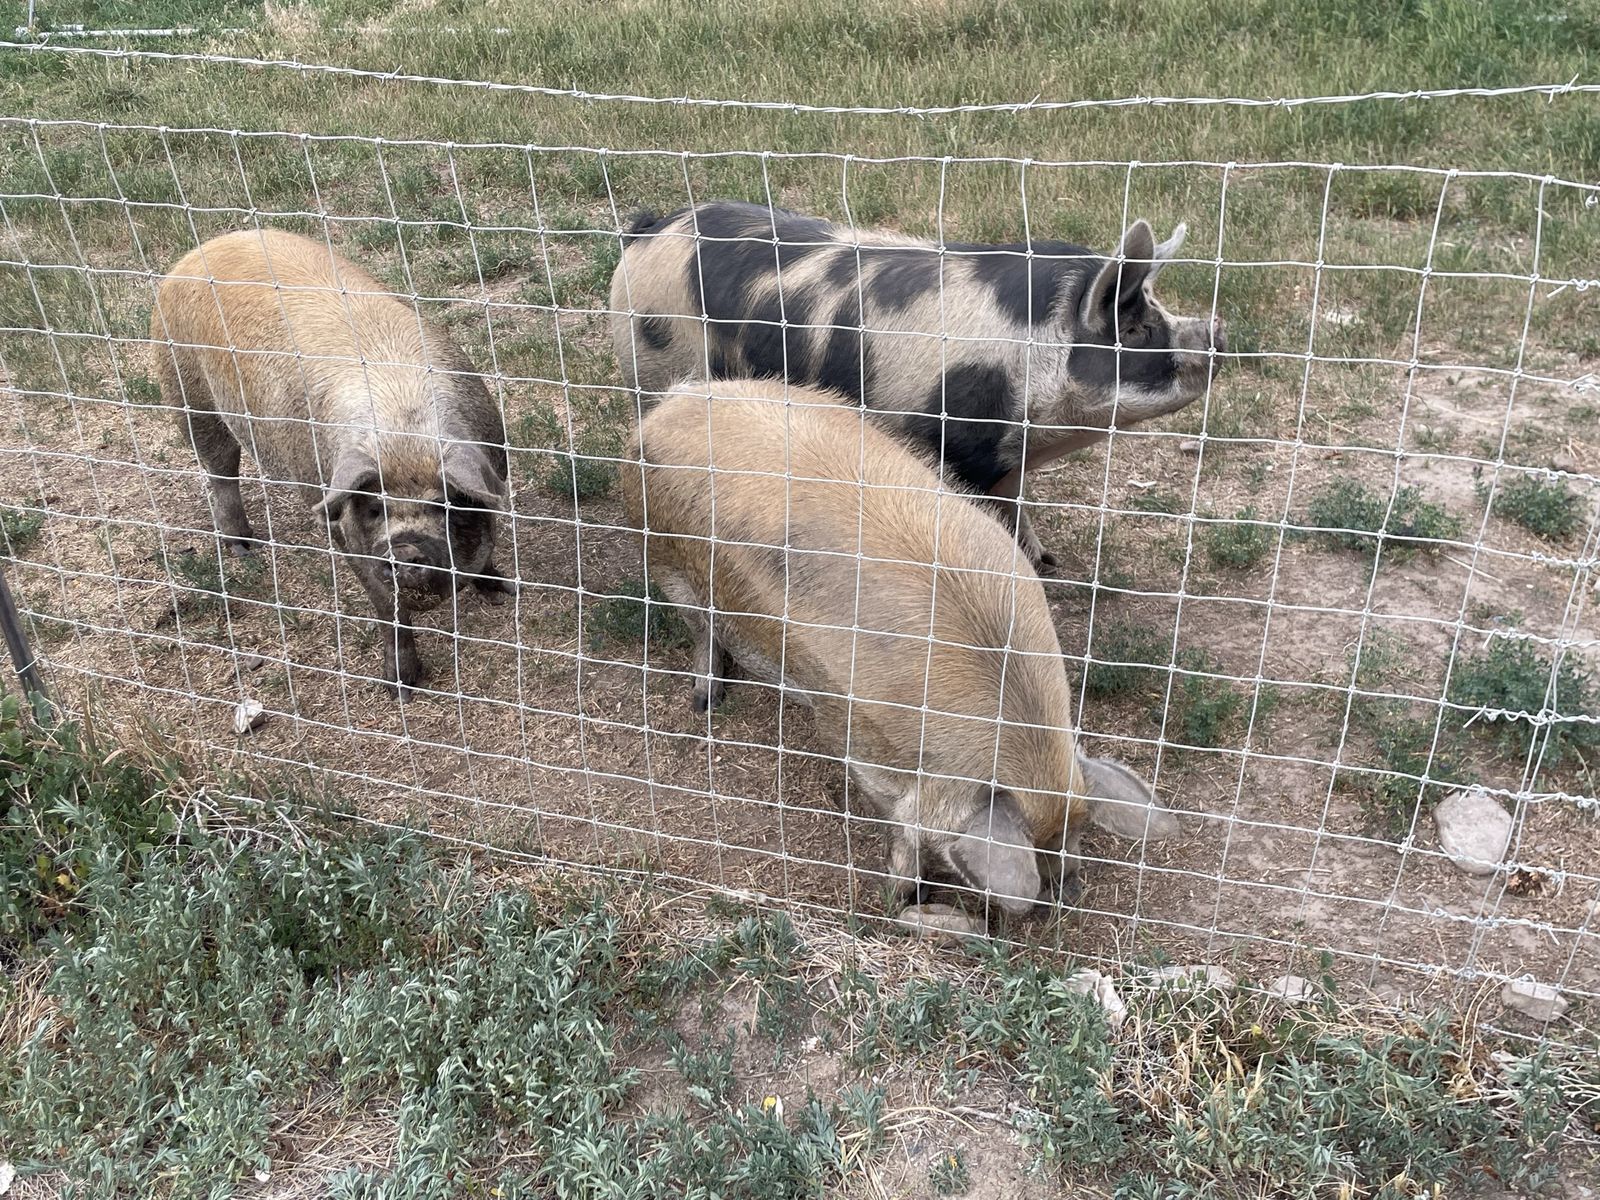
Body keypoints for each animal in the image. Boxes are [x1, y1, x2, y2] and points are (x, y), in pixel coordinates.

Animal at [150, 228, 514, 697]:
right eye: (374, 509)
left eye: (448, 506)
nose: (403, 550)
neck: (404, 434)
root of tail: (204, 248)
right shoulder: (337, 519)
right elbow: (385, 606)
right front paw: (400, 687)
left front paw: (501, 590)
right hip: (187, 394)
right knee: (220, 471)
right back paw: (245, 550)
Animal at [609, 200, 1226, 573]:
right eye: (1137, 328)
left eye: (1157, 308)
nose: (1217, 331)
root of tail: (653, 231)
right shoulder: (948, 443)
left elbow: (1016, 507)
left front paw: (1045, 561)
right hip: (651, 364)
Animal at [622, 377, 1175, 926]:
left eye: (1077, 832)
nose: (1066, 892)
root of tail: (672, 405)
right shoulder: (855, 736)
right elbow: (903, 826)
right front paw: (902, 898)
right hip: (664, 557)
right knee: (701, 627)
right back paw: (706, 699)